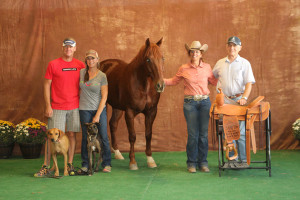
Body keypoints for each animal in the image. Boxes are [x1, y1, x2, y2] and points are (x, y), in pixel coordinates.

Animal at [100, 38, 166, 170]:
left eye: (163, 58)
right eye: (148, 59)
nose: (160, 85)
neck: (144, 86)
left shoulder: (151, 112)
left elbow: (148, 134)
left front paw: (150, 160)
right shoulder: (129, 112)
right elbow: (132, 136)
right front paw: (133, 162)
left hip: (117, 108)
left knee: (113, 124)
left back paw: (118, 153)